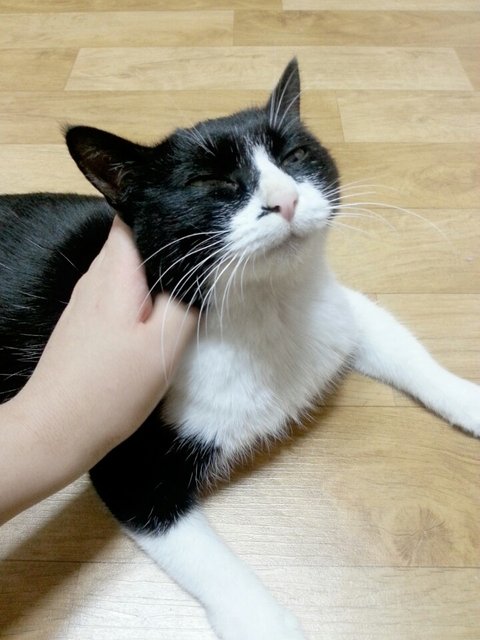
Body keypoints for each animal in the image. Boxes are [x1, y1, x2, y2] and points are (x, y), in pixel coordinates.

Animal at [0, 58, 479, 640]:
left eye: (294, 156)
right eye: (211, 182)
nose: (286, 199)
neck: (266, 308)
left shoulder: (332, 312)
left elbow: (389, 336)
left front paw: (469, 399)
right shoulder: (121, 451)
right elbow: (200, 552)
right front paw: (269, 623)